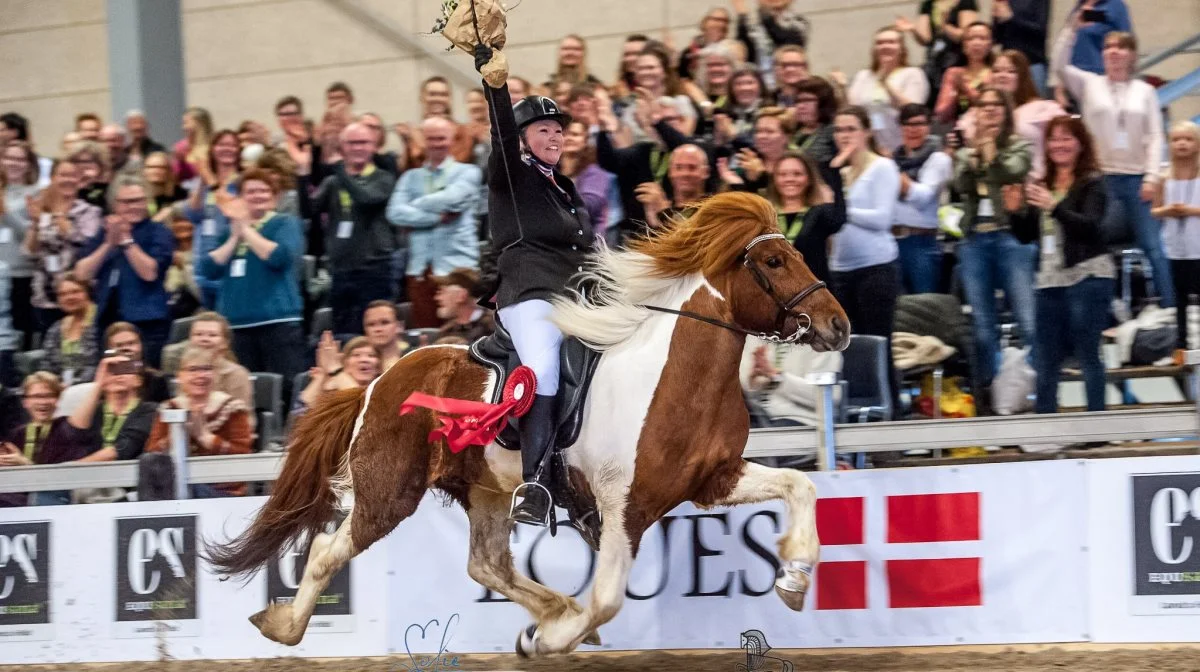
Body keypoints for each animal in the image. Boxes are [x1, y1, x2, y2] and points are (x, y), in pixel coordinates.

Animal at [201, 192, 849, 657]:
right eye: (773, 261)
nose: (838, 326)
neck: (676, 376)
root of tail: (375, 382)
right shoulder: (623, 507)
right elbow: (608, 598)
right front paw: (552, 640)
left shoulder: (714, 479)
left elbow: (802, 485)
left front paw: (794, 578)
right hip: (388, 492)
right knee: (325, 552)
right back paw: (284, 626)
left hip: (487, 489)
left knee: (487, 564)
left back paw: (553, 611)